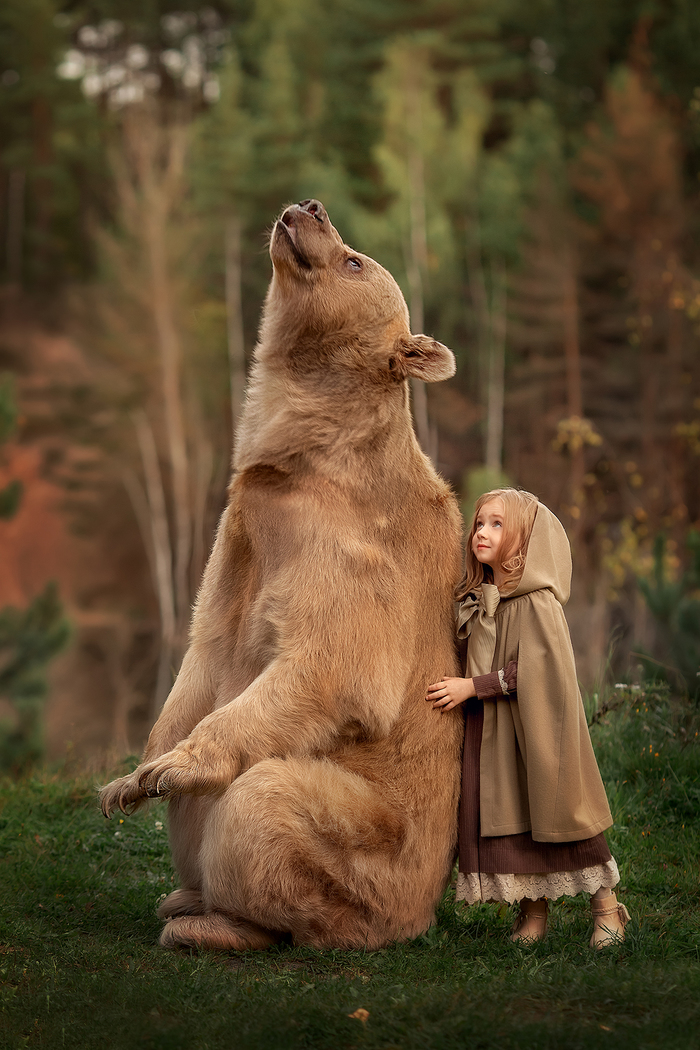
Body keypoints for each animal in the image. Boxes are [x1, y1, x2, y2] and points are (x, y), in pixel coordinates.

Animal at [100, 198, 464, 951]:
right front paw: (129, 778)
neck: (298, 455)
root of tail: (422, 912)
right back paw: (181, 896)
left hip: (375, 850)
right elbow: (201, 655)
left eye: (354, 260)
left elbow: (330, 665)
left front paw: (174, 766)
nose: (311, 206)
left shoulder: (349, 551)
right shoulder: (238, 536)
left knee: (263, 806)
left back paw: (210, 923)